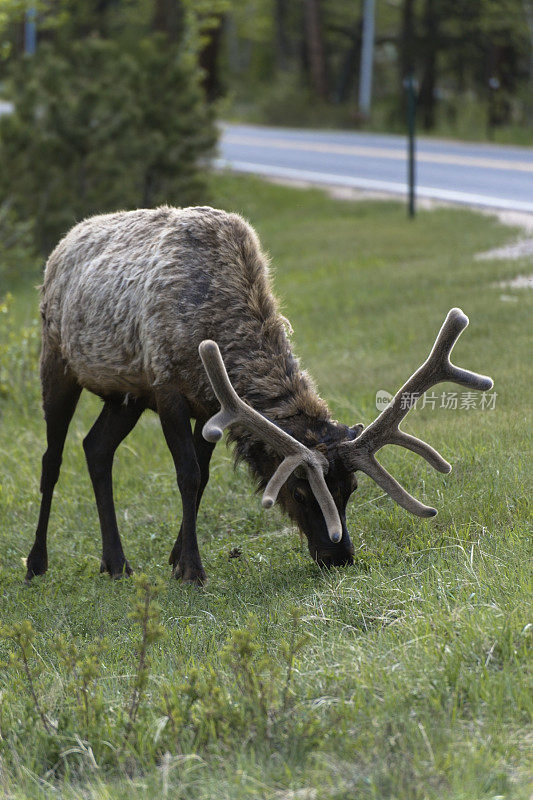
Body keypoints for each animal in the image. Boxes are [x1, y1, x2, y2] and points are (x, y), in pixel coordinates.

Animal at [23, 205, 490, 588]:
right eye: (299, 491)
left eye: (352, 488)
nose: (339, 556)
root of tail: (61, 245)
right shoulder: (166, 385)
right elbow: (187, 475)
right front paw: (192, 570)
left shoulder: (210, 406)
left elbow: (203, 479)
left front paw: (176, 558)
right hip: (57, 361)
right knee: (51, 459)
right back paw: (36, 562)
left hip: (125, 395)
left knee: (96, 447)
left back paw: (115, 562)